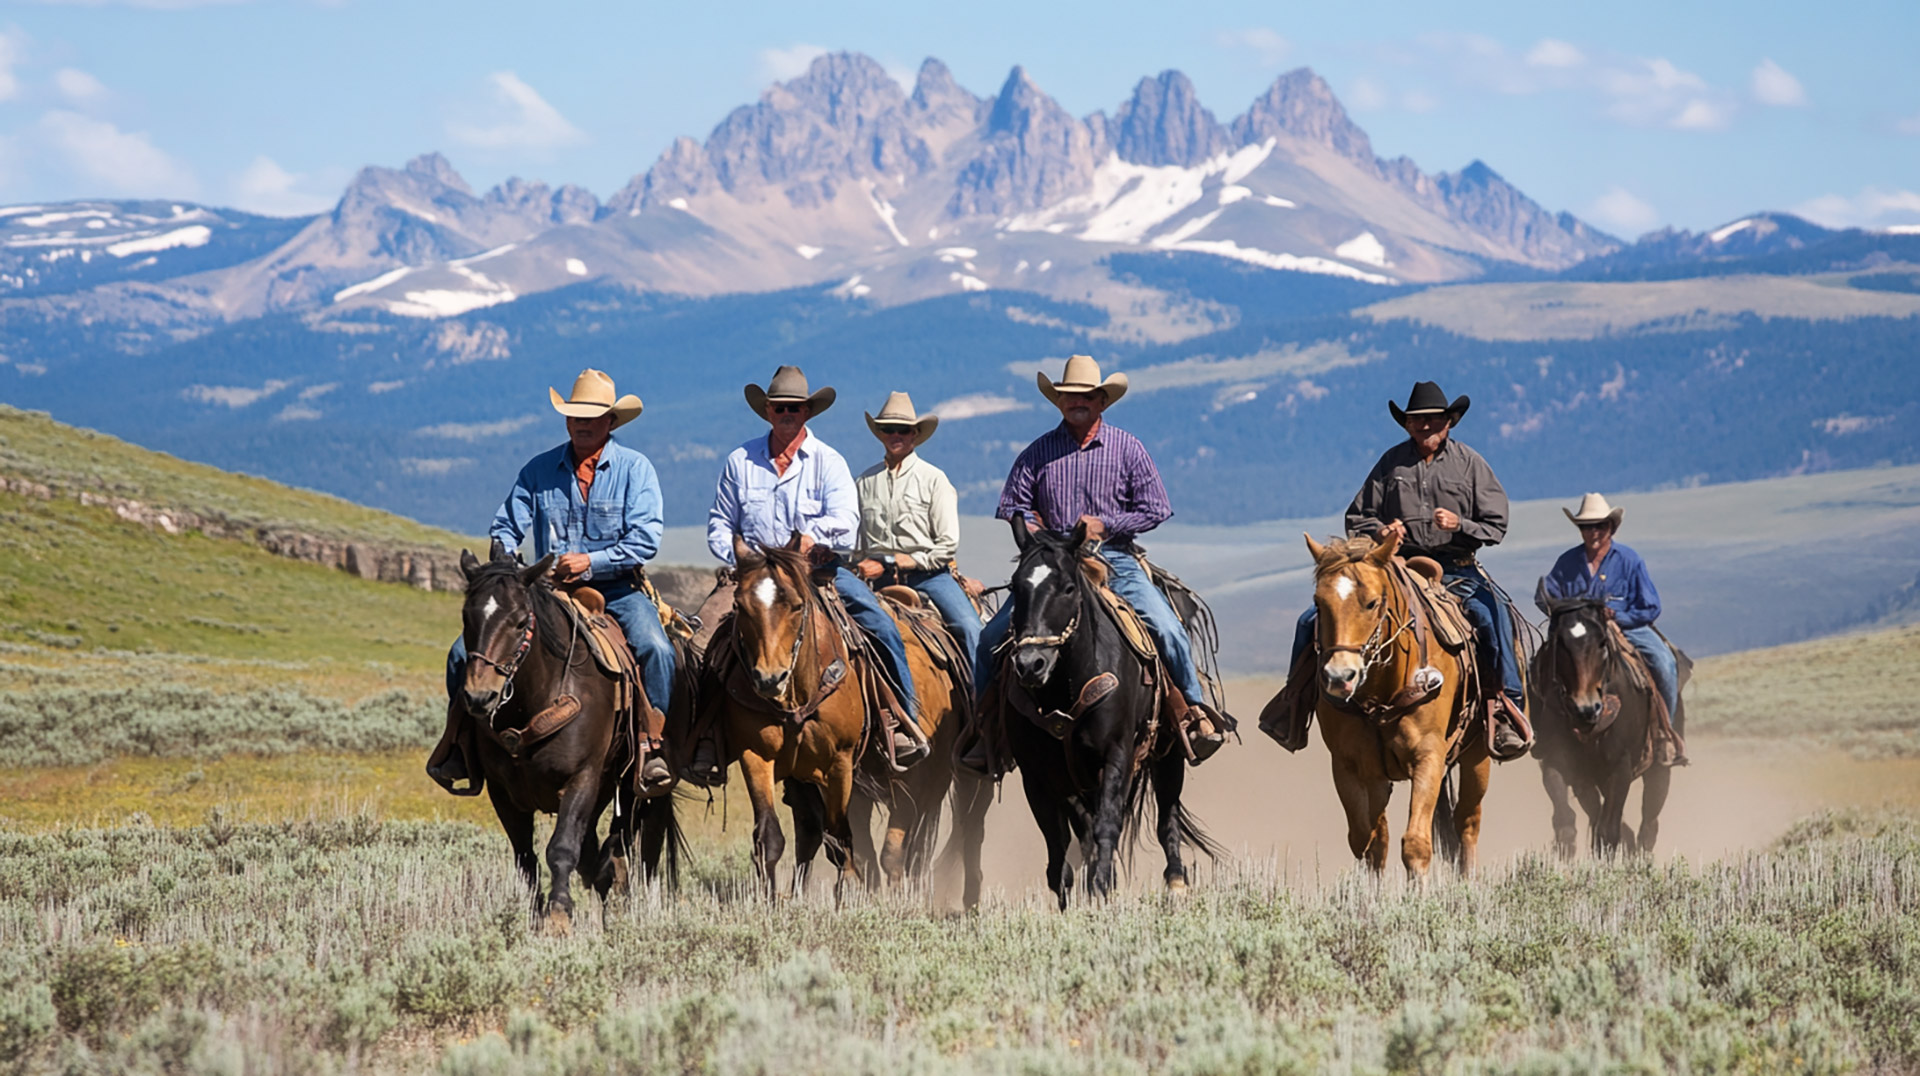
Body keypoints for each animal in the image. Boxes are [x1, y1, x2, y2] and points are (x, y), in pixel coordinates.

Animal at [455, 545, 683, 933]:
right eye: (466, 618)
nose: (480, 696)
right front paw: (536, 915)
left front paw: (559, 915)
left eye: (521, 622)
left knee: (630, 839)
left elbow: (562, 848)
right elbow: (526, 857)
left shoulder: (581, 779)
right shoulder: (503, 793)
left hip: (635, 786)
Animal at [990, 522, 1213, 906]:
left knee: (1166, 813)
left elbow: (1107, 825)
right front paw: (1073, 900)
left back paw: (1176, 882)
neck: (1064, 687)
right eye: (1016, 587)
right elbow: (1059, 849)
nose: (1031, 664)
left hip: (1168, 751)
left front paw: (1100, 890)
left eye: (1068, 587)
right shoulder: (1039, 775)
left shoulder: (1116, 754)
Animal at [1305, 534, 1497, 880]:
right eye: (1318, 602)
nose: (1340, 677)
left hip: (1477, 755)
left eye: (1372, 603)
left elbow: (1416, 843)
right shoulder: (1349, 765)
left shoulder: (1428, 757)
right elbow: (1367, 841)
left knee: (1468, 823)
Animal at [1528, 587, 1681, 856]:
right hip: (1587, 781)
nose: (1586, 707)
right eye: (1559, 642)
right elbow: (1565, 823)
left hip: (1659, 769)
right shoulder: (1555, 761)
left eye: (1602, 642)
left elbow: (1607, 832)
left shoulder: (1620, 768)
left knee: (1648, 825)